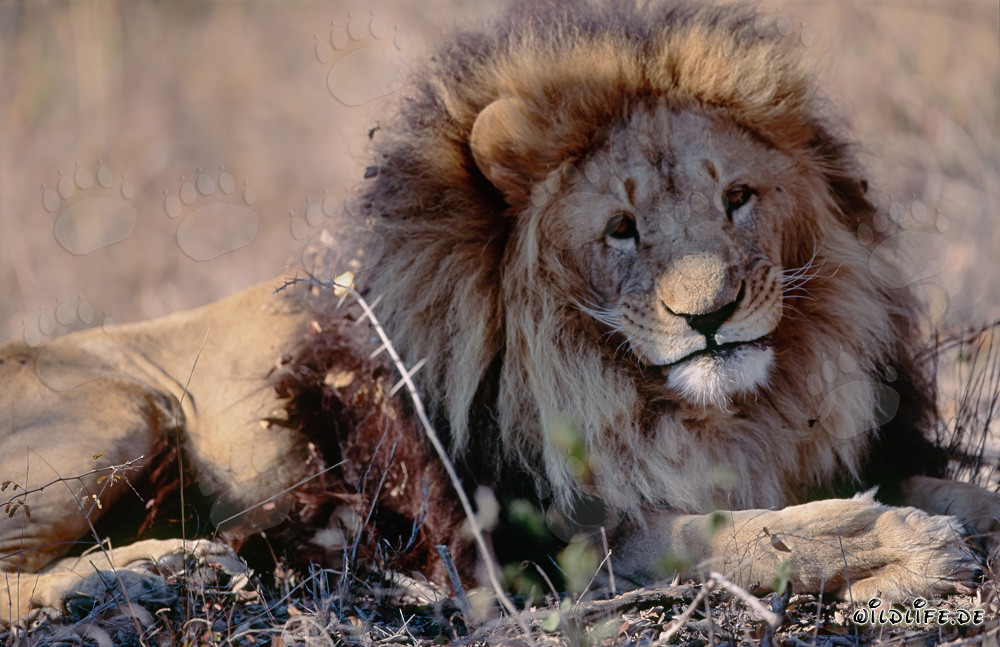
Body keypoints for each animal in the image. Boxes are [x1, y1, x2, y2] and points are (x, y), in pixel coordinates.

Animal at [1, 0, 998, 624]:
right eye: (622, 230)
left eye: (738, 199)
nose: (710, 315)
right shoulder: (560, 543)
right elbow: (745, 535)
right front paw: (907, 546)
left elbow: (954, 490)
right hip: (124, 409)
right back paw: (128, 579)